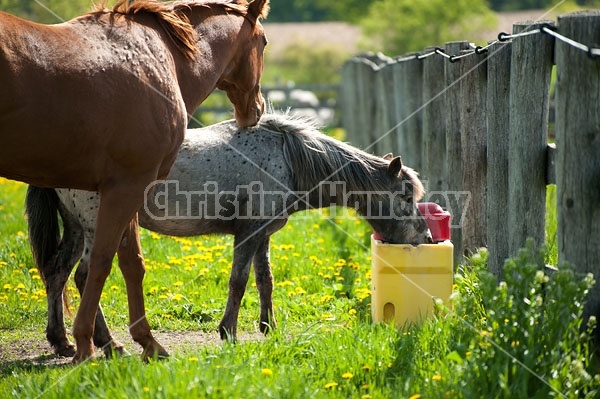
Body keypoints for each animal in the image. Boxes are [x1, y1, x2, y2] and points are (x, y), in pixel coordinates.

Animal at [0, 0, 268, 362]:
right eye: (264, 42)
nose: (257, 110)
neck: (160, 57)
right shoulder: (127, 187)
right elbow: (102, 264)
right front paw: (86, 346)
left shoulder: (123, 190)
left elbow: (131, 264)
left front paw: (147, 342)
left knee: (59, 270)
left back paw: (66, 339)